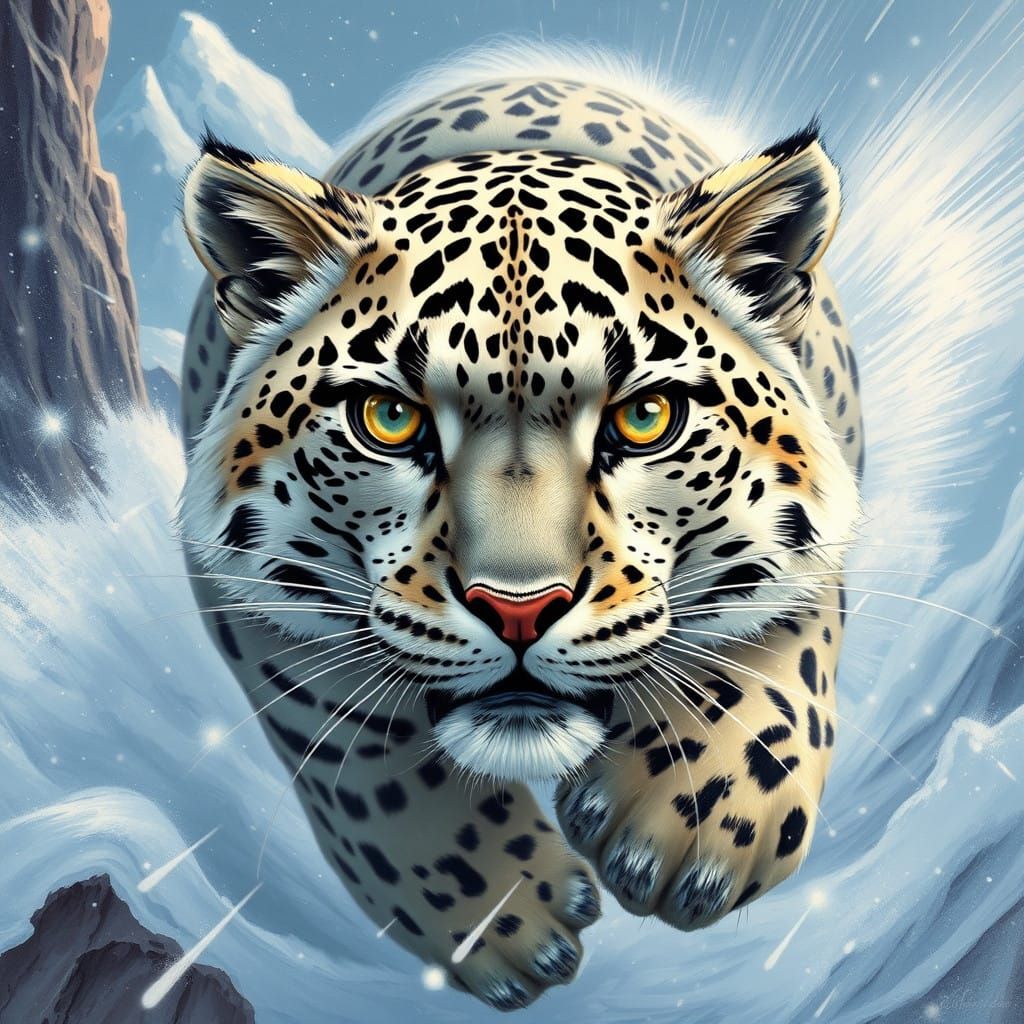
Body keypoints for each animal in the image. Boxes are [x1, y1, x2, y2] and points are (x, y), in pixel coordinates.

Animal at [177, 56, 863, 1011]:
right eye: (388, 418)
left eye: (646, 417)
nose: (518, 610)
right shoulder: (254, 608)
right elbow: (366, 761)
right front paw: (500, 921)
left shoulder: (813, 536)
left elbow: (769, 650)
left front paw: (694, 824)